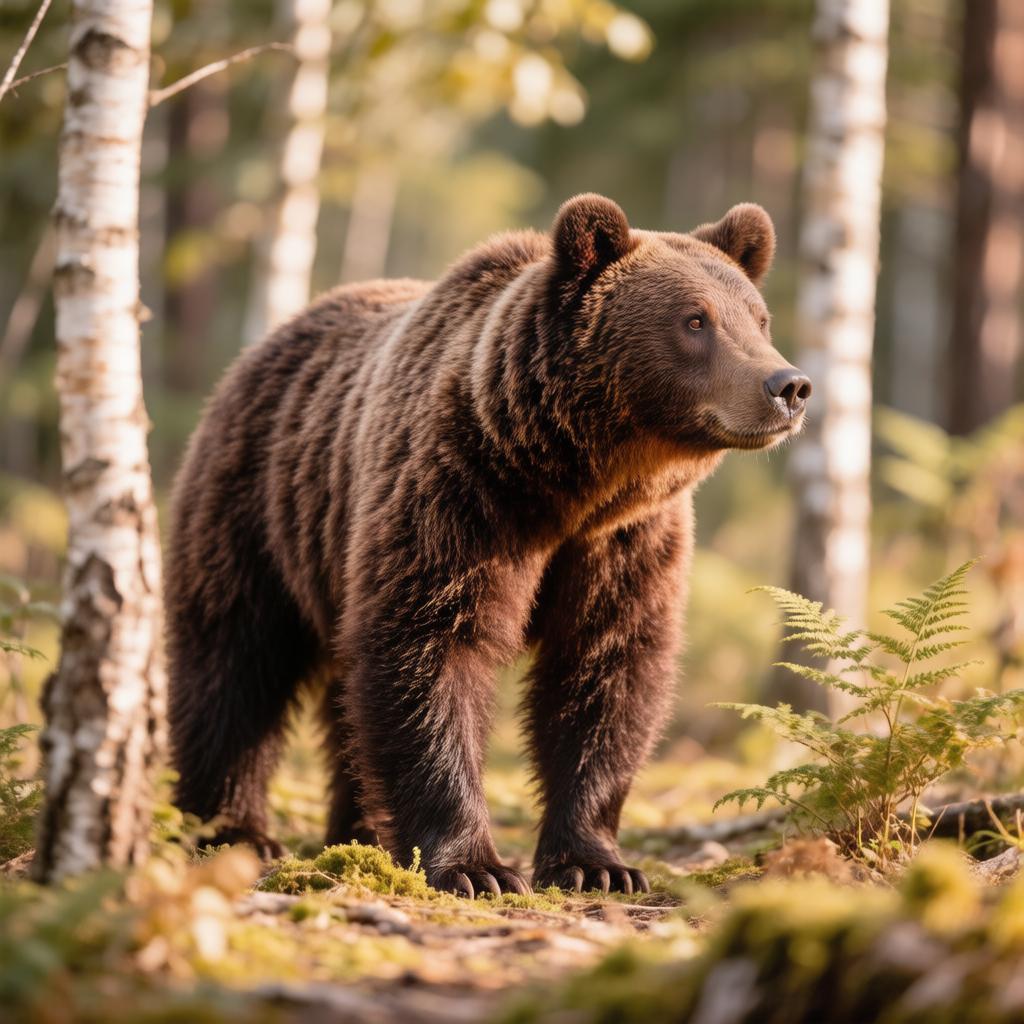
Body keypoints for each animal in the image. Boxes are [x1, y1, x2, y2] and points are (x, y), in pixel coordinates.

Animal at [165, 193, 811, 897]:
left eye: (759, 317)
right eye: (695, 319)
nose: (789, 386)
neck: (573, 482)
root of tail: (262, 348)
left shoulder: (625, 541)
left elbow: (608, 670)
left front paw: (597, 863)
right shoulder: (461, 498)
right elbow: (431, 650)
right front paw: (477, 869)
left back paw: (359, 832)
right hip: (261, 507)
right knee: (234, 662)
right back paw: (234, 829)